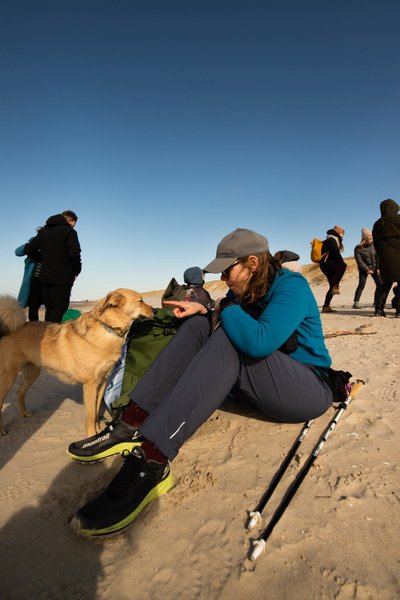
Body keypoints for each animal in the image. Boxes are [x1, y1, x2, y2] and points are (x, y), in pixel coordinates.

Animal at [0, 290, 153, 436]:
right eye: (140, 301)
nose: (155, 310)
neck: (107, 328)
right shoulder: (90, 385)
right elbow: (90, 415)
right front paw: (91, 435)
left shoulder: (102, 382)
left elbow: (96, 410)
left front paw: (97, 430)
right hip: (9, 377)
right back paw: (2, 430)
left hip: (32, 373)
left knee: (19, 392)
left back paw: (24, 413)